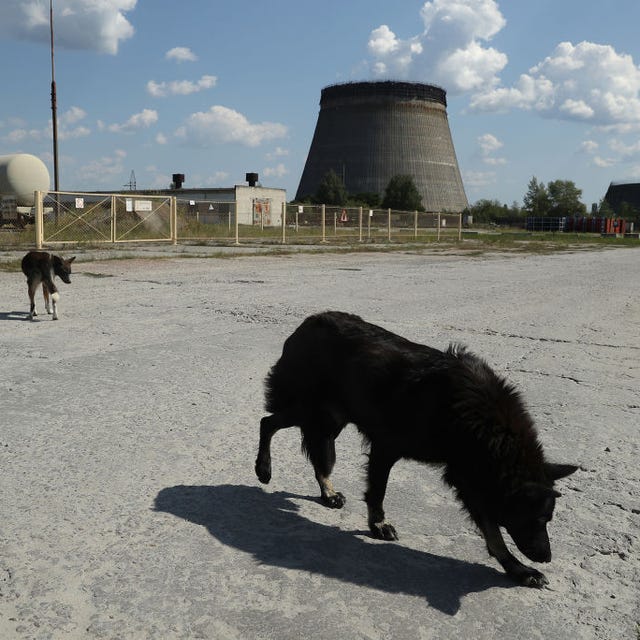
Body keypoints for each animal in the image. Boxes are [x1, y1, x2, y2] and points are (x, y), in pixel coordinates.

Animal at [256, 312, 580, 588]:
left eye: (548, 519)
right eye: (538, 520)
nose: (547, 557)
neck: (479, 422)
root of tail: (308, 322)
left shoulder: (469, 477)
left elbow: (493, 533)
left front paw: (518, 570)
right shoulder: (386, 447)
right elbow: (378, 491)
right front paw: (378, 524)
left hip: (330, 418)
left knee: (314, 453)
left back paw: (328, 492)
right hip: (311, 410)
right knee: (267, 422)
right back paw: (263, 469)